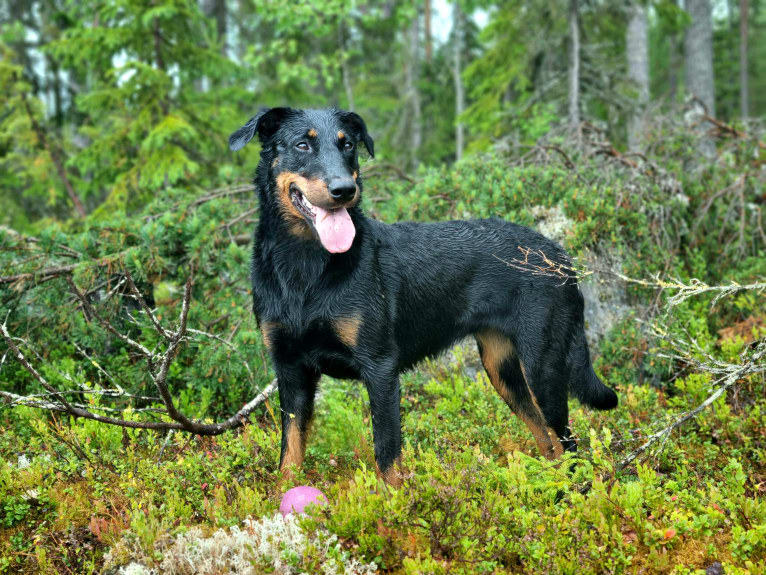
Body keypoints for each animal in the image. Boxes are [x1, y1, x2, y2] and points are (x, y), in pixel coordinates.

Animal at [228, 107, 616, 486]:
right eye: (302, 145)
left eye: (348, 144)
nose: (344, 189)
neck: (305, 267)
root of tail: (560, 256)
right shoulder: (291, 370)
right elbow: (289, 455)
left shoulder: (380, 367)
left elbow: (387, 457)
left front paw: (393, 505)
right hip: (502, 368)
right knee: (547, 439)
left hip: (542, 366)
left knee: (567, 442)